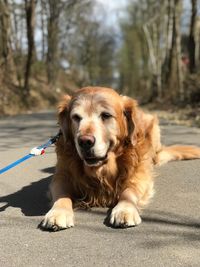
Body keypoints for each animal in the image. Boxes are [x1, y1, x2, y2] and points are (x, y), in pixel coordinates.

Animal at [40, 87, 200, 231]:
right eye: (76, 117)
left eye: (105, 115)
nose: (85, 141)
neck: (102, 169)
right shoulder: (62, 176)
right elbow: (62, 194)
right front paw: (58, 212)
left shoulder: (138, 175)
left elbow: (128, 192)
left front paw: (125, 210)